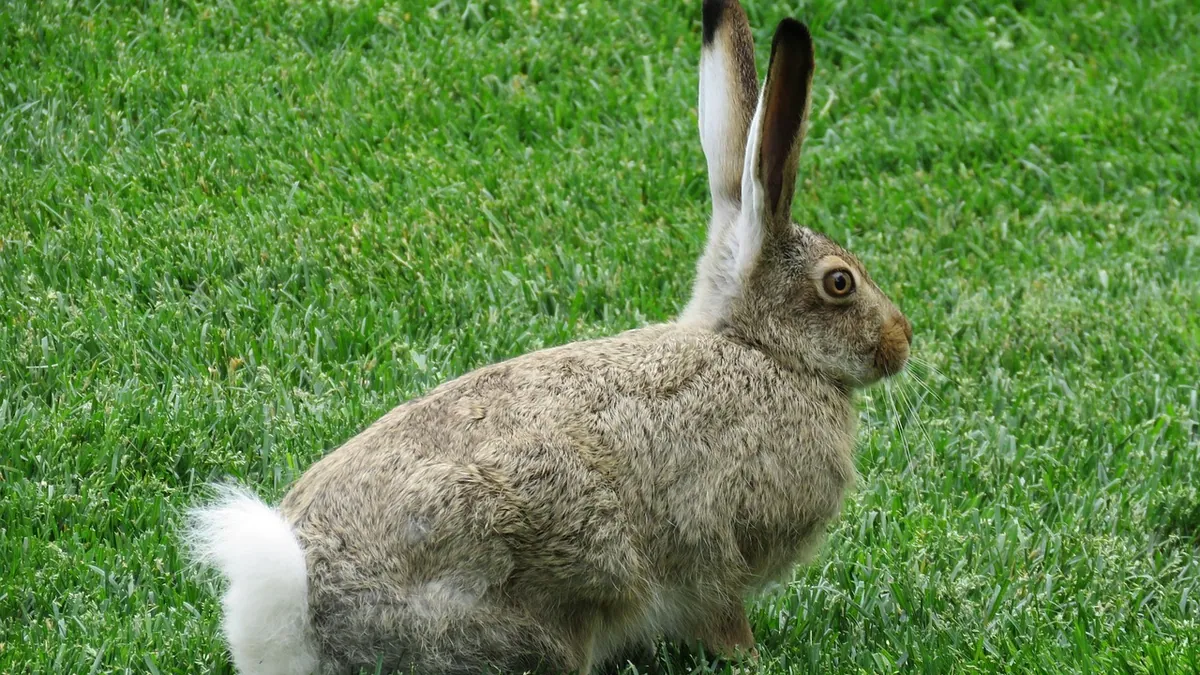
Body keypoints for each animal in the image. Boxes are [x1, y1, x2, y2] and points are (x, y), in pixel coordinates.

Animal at [186, 2, 913, 674]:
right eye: (840, 283)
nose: (901, 341)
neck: (762, 350)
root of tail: (295, 615)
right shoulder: (714, 546)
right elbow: (721, 611)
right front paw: (752, 659)